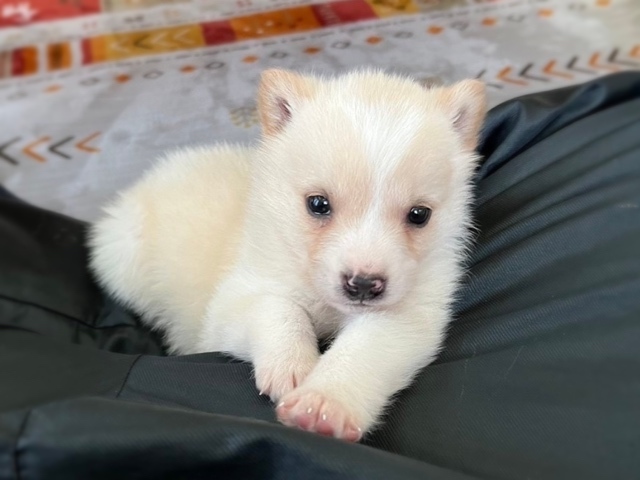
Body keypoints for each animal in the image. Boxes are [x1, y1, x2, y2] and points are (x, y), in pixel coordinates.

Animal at [88, 68, 487, 442]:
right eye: (318, 204)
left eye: (419, 214)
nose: (363, 284)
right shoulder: (236, 297)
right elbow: (277, 308)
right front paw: (292, 364)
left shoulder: (407, 312)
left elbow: (365, 348)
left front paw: (323, 405)